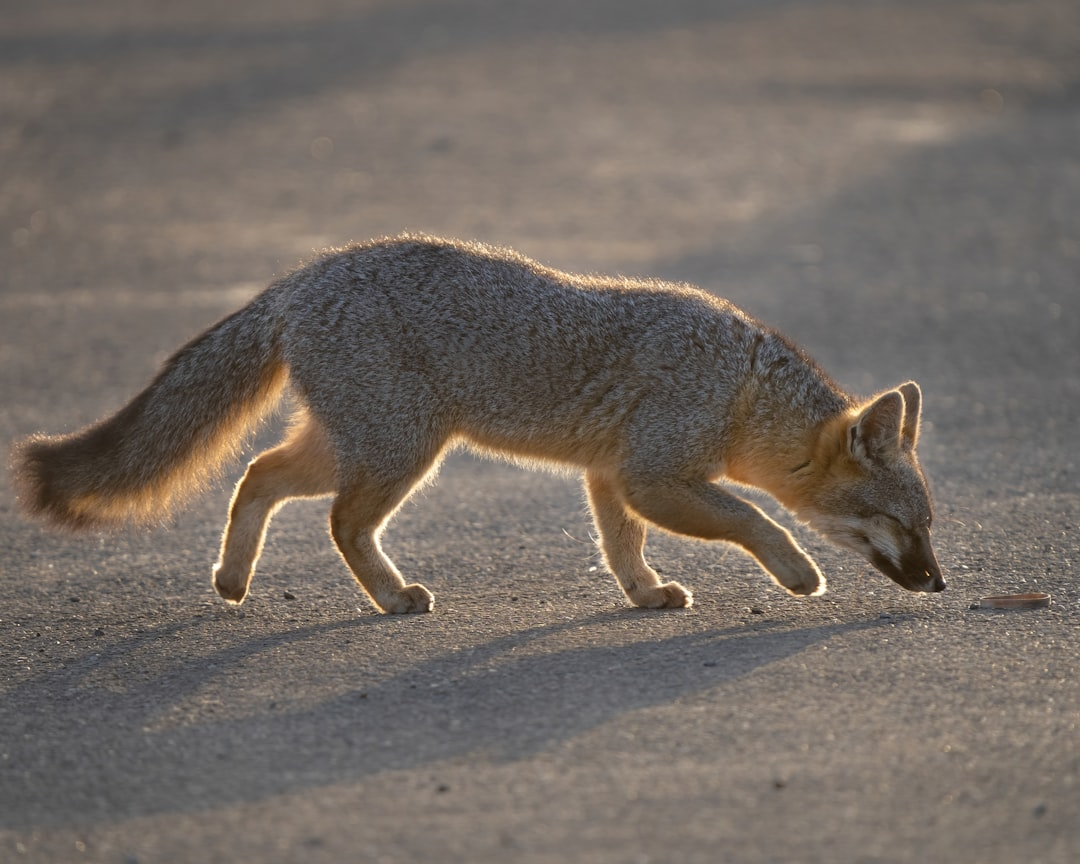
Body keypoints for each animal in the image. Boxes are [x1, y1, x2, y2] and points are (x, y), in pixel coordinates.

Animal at [12, 234, 944, 613]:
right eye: (900, 526)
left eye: (929, 526)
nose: (938, 583)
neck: (741, 384)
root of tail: (304, 275)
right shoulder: (653, 474)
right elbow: (754, 518)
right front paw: (796, 572)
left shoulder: (609, 475)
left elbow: (622, 546)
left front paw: (645, 594)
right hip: (401, 451)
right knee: (338, 522)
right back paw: (392, 598)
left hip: (353, 445)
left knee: (257, 476)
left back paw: (234, 582)